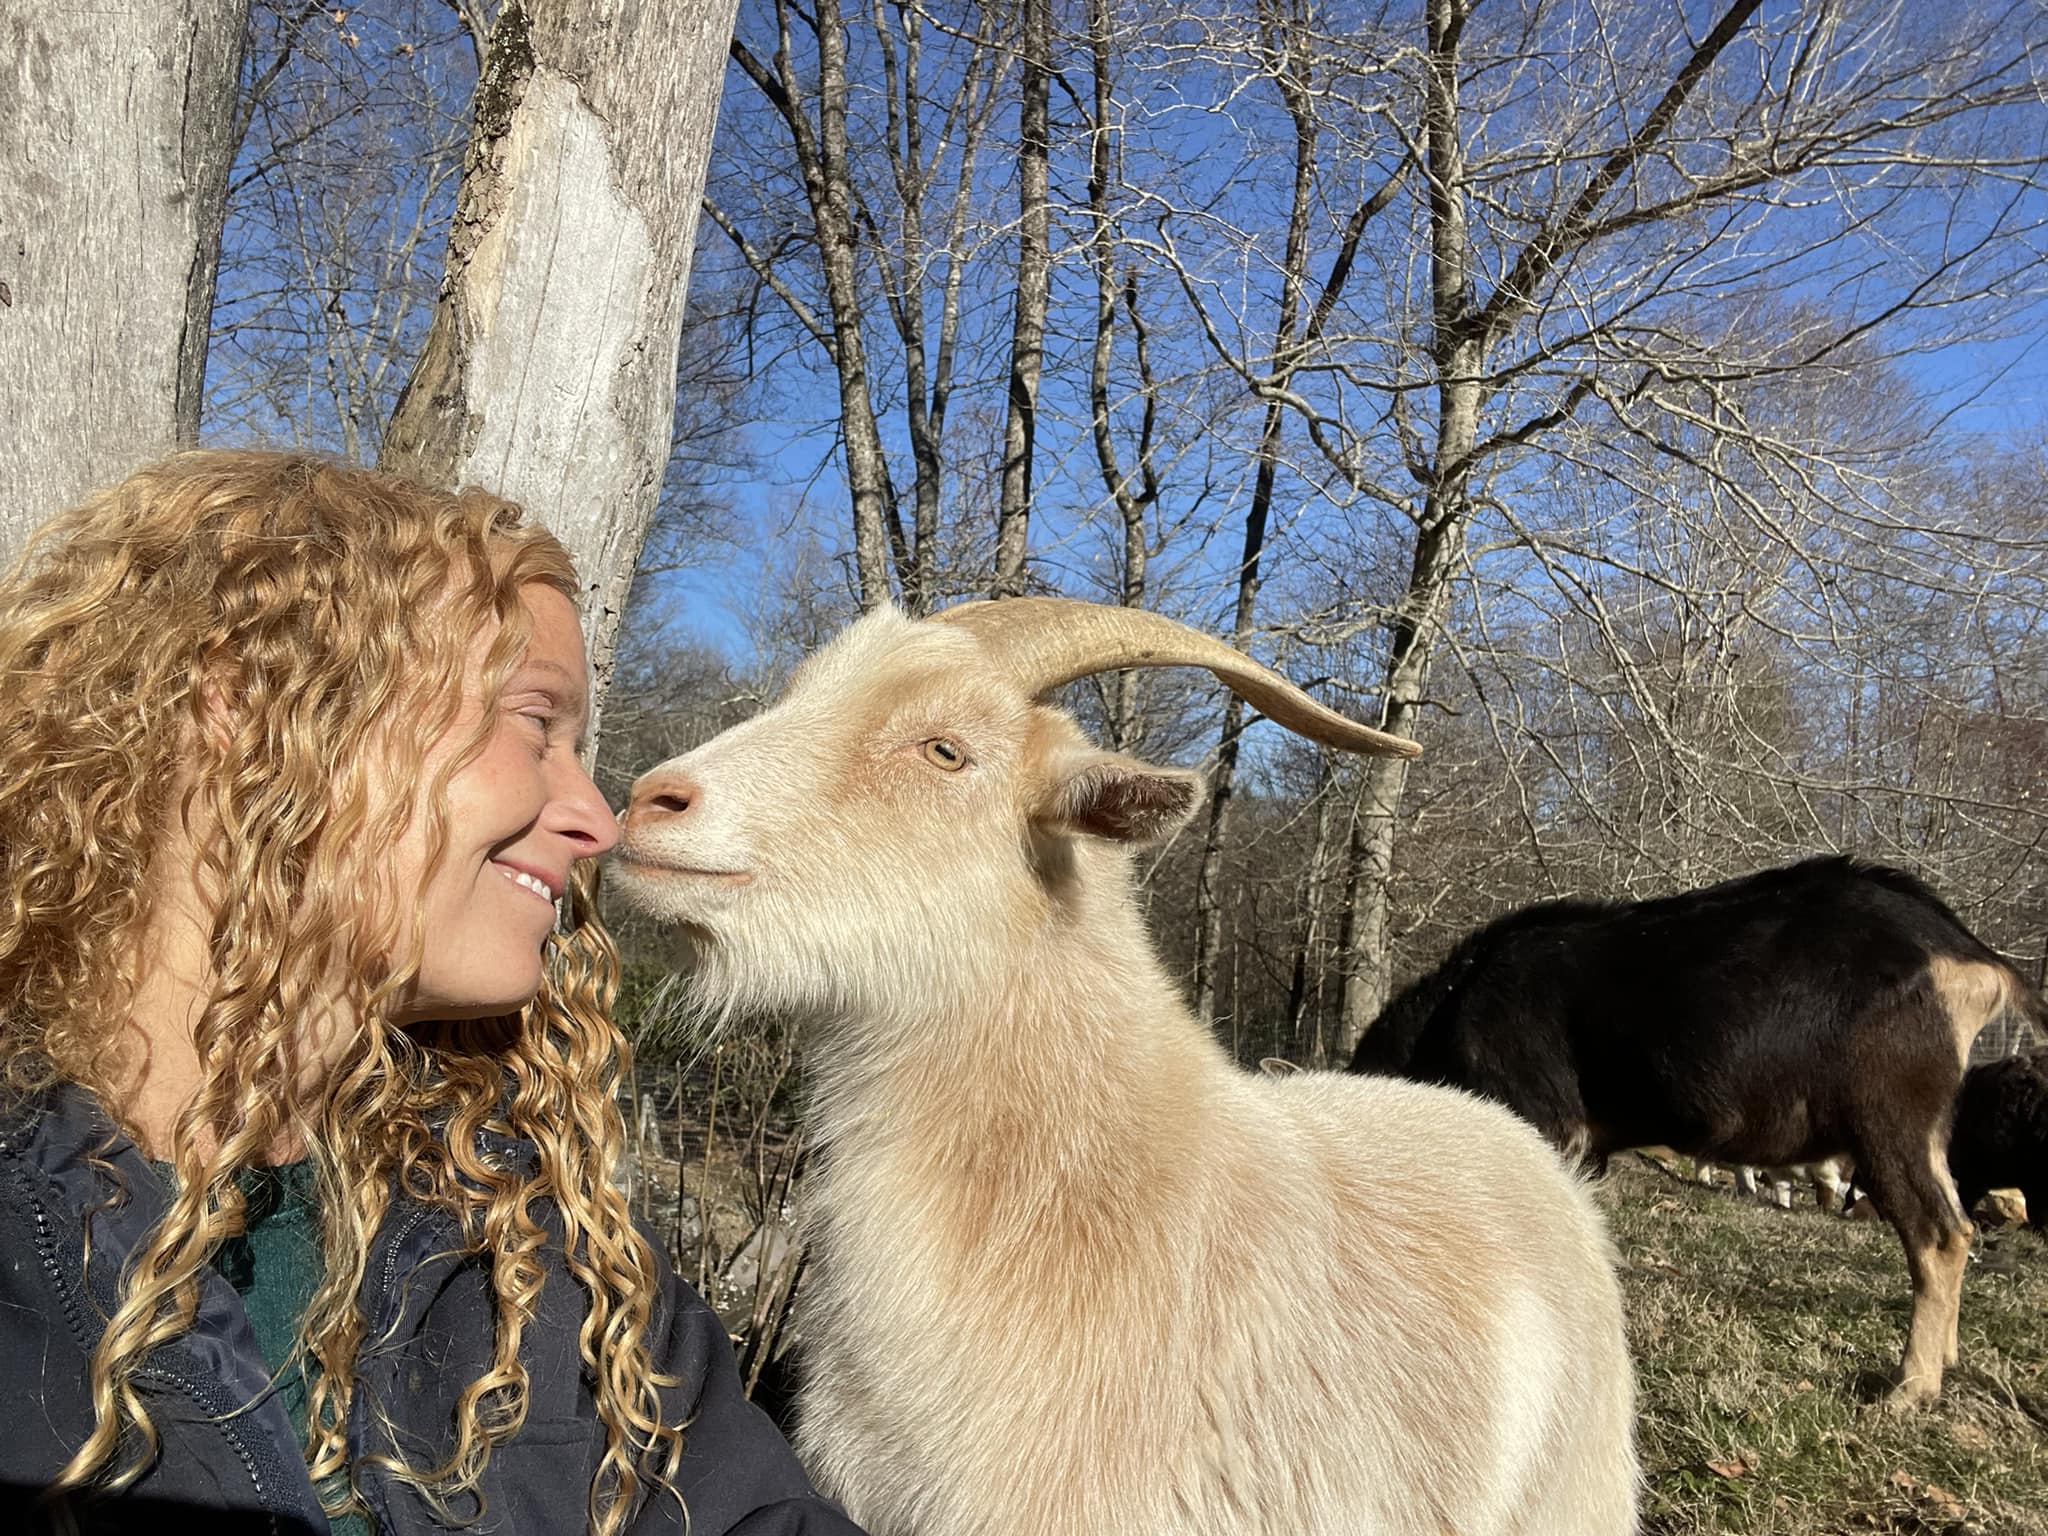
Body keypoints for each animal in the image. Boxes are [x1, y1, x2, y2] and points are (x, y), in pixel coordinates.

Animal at [1349, 857, 2037, 1406]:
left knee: (1939, 1234)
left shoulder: (1541, 1121)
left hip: (1891, 1114)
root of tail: (1971, 955)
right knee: (1959, 1222)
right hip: (1929, 1128)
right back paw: (1945, 1361)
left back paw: (1909, 1389)